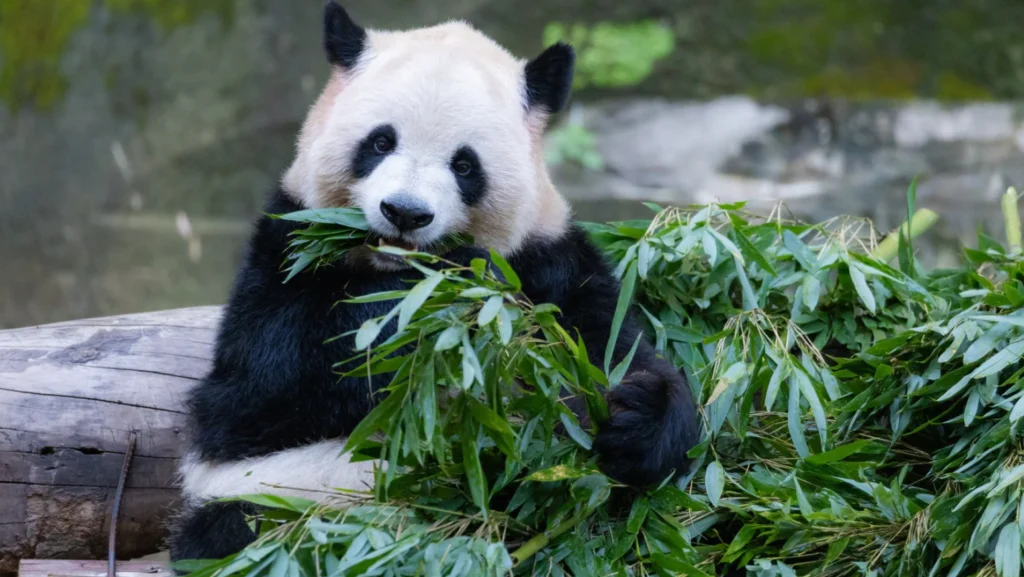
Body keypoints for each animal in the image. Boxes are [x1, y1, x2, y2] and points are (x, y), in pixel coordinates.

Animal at [169, 1, 700, 563]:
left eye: (464, 165)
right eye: (381, 142)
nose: (405, 212)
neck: (396, 266)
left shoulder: (550, 260)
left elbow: (609, 345)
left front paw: (638, 420)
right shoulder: (285, 248)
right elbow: (278, 374)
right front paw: (447, 293)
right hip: (283, 498)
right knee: (242, 529)